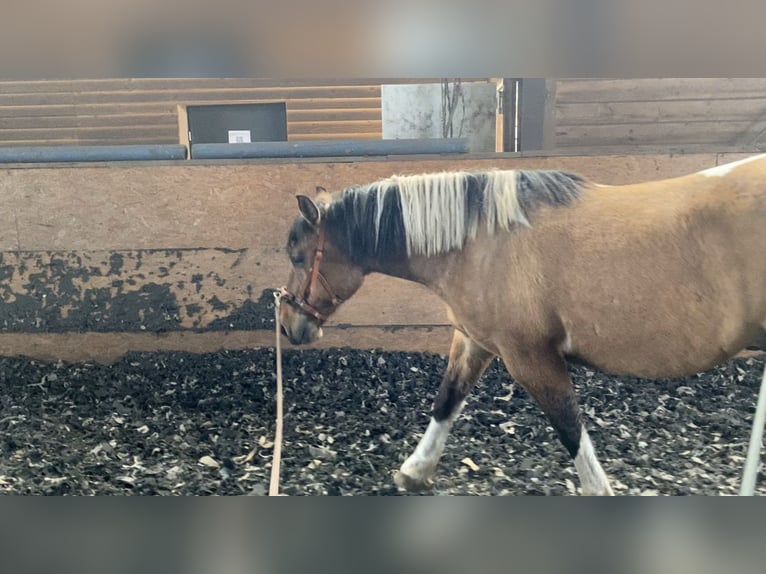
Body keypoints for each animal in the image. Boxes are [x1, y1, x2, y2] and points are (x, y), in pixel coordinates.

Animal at [278, 154, 766, 495]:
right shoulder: (473, 341)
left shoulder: (529, 357)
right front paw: (415, 471)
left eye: (298, 257)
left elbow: (571, 429)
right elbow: (446, 402)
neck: (481, 242)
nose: (287, 324)